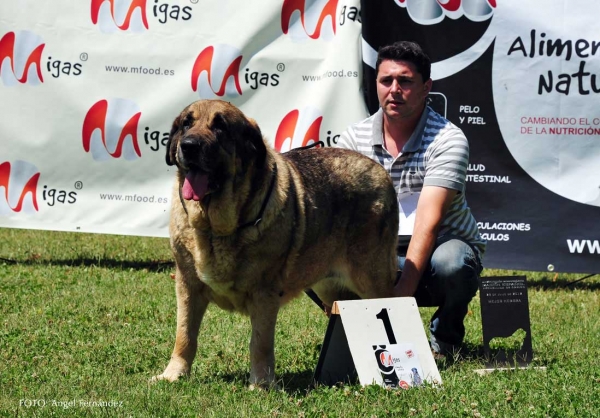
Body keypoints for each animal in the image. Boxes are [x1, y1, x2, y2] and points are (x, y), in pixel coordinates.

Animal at [154, 99, 398, 386]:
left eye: (220, 127)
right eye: (186, 124)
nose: (189, 145)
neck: (216, 229)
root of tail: (382, 173)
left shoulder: (264, 293)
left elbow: (259, 343)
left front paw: (260, 384)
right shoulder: (187, 285)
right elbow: (185, 335)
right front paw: (174, 374)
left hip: (372, 280)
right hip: (331, 287)